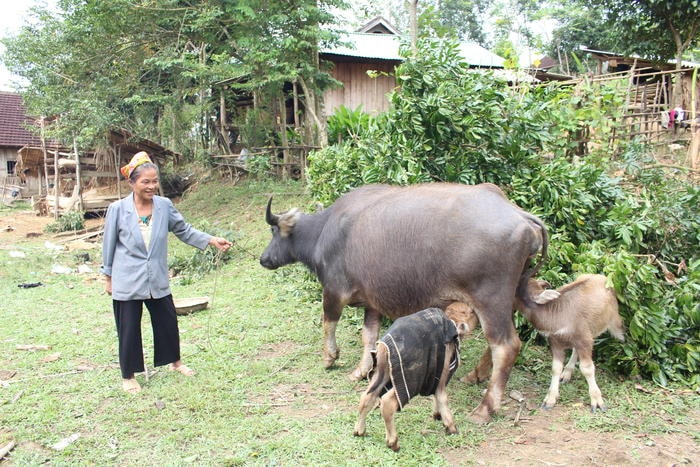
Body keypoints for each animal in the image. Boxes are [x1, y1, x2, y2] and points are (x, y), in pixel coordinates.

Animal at [260, 183, 548, 424]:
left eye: (274, 231)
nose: (264, 259)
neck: (324, 232)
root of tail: (520, 216)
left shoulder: (333, 291)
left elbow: (328, 322)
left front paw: (330, 358)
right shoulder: (372, 302)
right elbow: (369, 335)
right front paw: (362, 370)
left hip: (490, 300)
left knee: (506, 346)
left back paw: (485, 408)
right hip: (509, 298)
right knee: (499, 343)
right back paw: (475, 375)